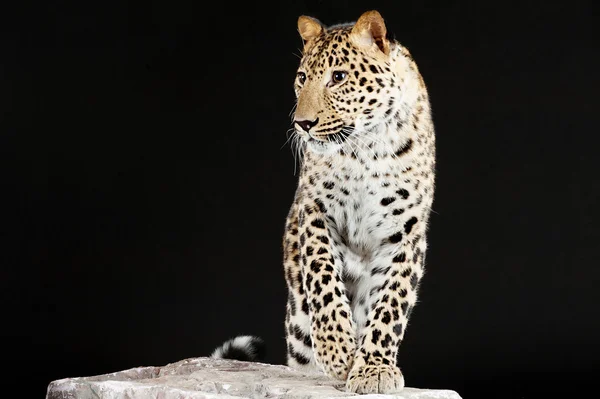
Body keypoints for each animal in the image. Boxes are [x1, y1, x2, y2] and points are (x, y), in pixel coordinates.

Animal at [212, 10, 436, 396]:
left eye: (339, 78)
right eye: (302, 78)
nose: (302, 123)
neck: (367, 150)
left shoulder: (405, 231)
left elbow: (391, 302)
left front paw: (374, 368)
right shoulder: (316, 211)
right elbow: (323, 280)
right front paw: (338, 350)